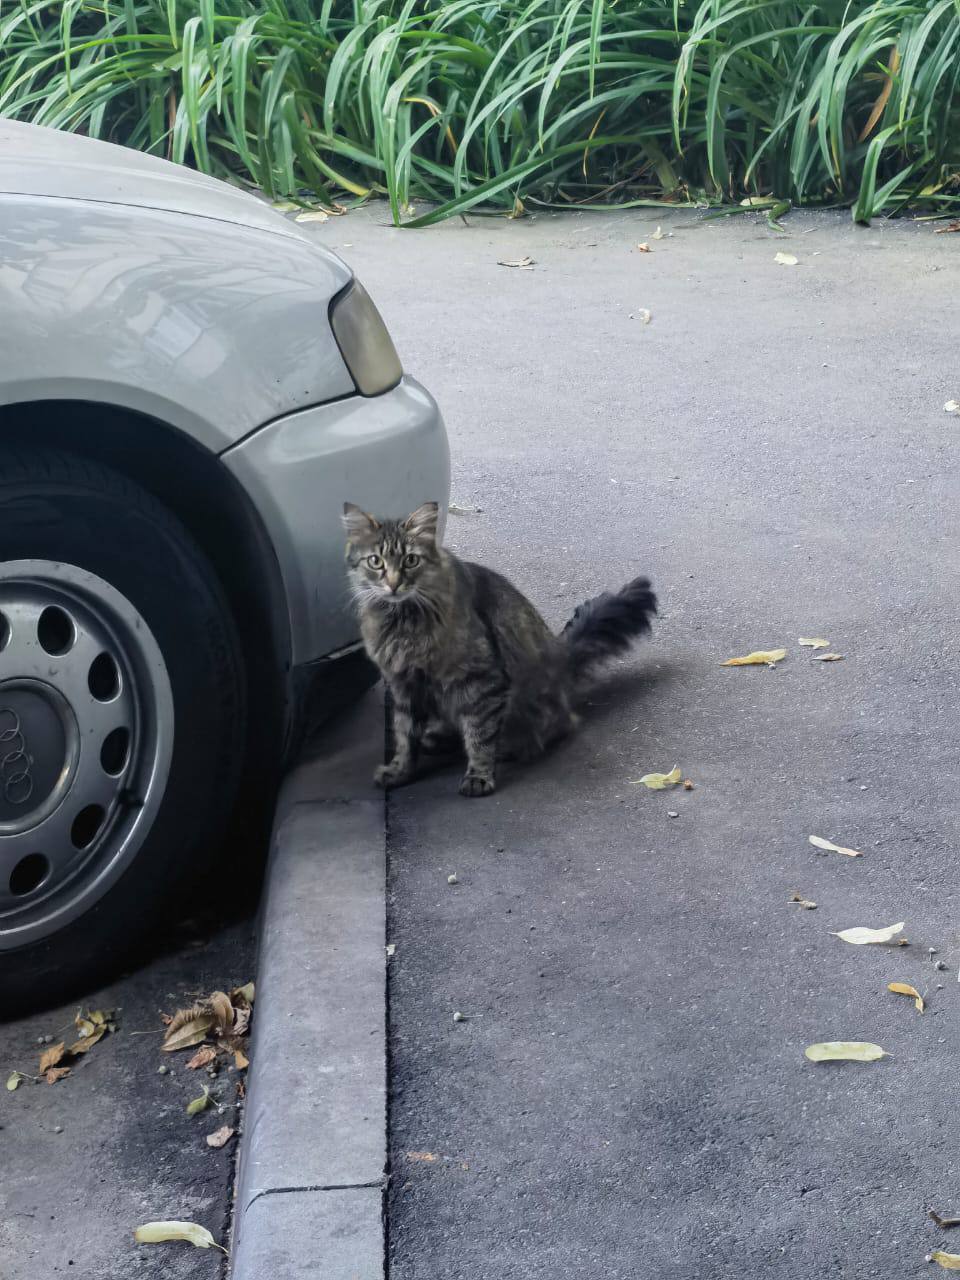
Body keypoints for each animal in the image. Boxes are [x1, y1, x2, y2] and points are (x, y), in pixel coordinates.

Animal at [343, 494, 660, 793]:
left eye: (410, 560)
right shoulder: (403, 684)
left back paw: (513, 747)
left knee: (560, 724)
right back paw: (438, 739)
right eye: (375, 562)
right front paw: (400, 772)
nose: (393, 584)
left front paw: (479, 776)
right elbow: (404, 735)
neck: (402, 621)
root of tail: (561, 654)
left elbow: (480, 735)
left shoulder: (481, 679)